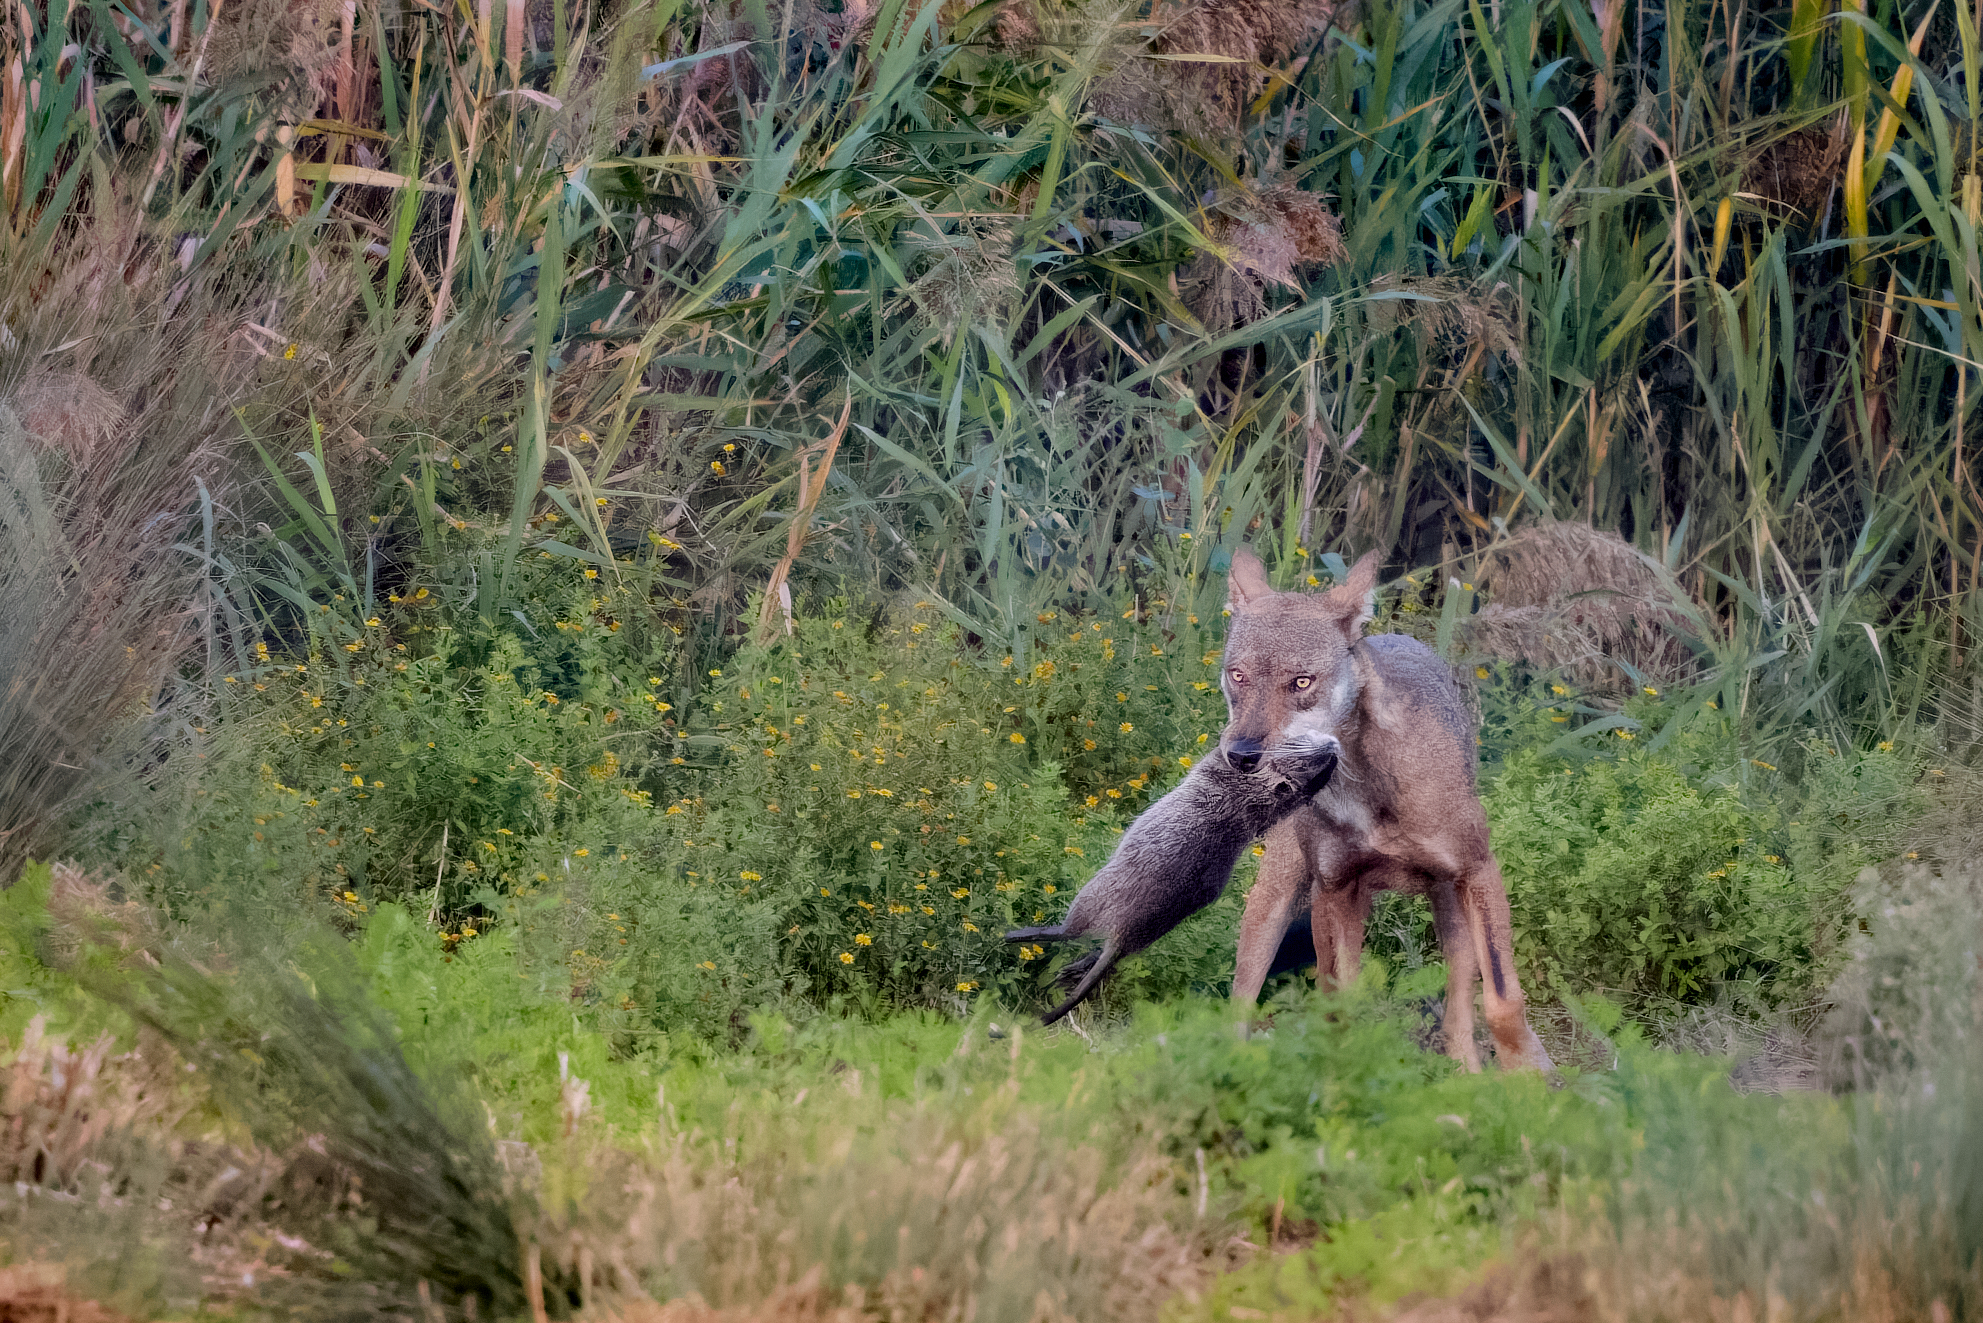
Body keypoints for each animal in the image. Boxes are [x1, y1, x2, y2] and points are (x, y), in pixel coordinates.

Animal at [1005, 737, 1341, 1025]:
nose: (1331, 747)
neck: (1248, 796)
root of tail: (1124, 937)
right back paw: (1070, 969)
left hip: (1095, 893)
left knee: (1072, 932)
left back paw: (1017, 935)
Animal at [1221, 547, 1551, 1071]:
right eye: (1238, 675)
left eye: (1301, 682)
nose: (1241, 755)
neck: (1365, 794)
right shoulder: (1337, 887)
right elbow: (1341, 1003)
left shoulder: (1479, 870)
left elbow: (1503, 1002)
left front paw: (1522, 1078)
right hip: (1283, 903)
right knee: (1252, 1000)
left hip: (1450, 913)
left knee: (1457, 1015)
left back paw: (1468, 1073)